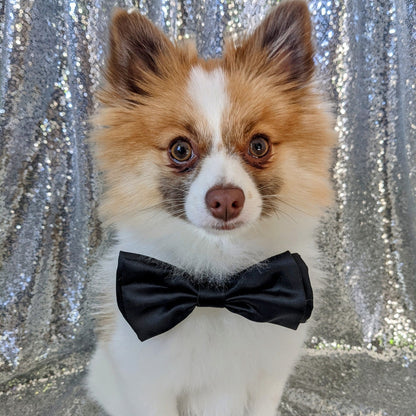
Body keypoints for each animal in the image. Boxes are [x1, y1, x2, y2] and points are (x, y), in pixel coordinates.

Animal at [87, 1, 334, 414]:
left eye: (259, 145)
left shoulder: (268, 378)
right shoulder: (149, 385)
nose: (226, 199)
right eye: (180, 149)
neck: (219, 283)